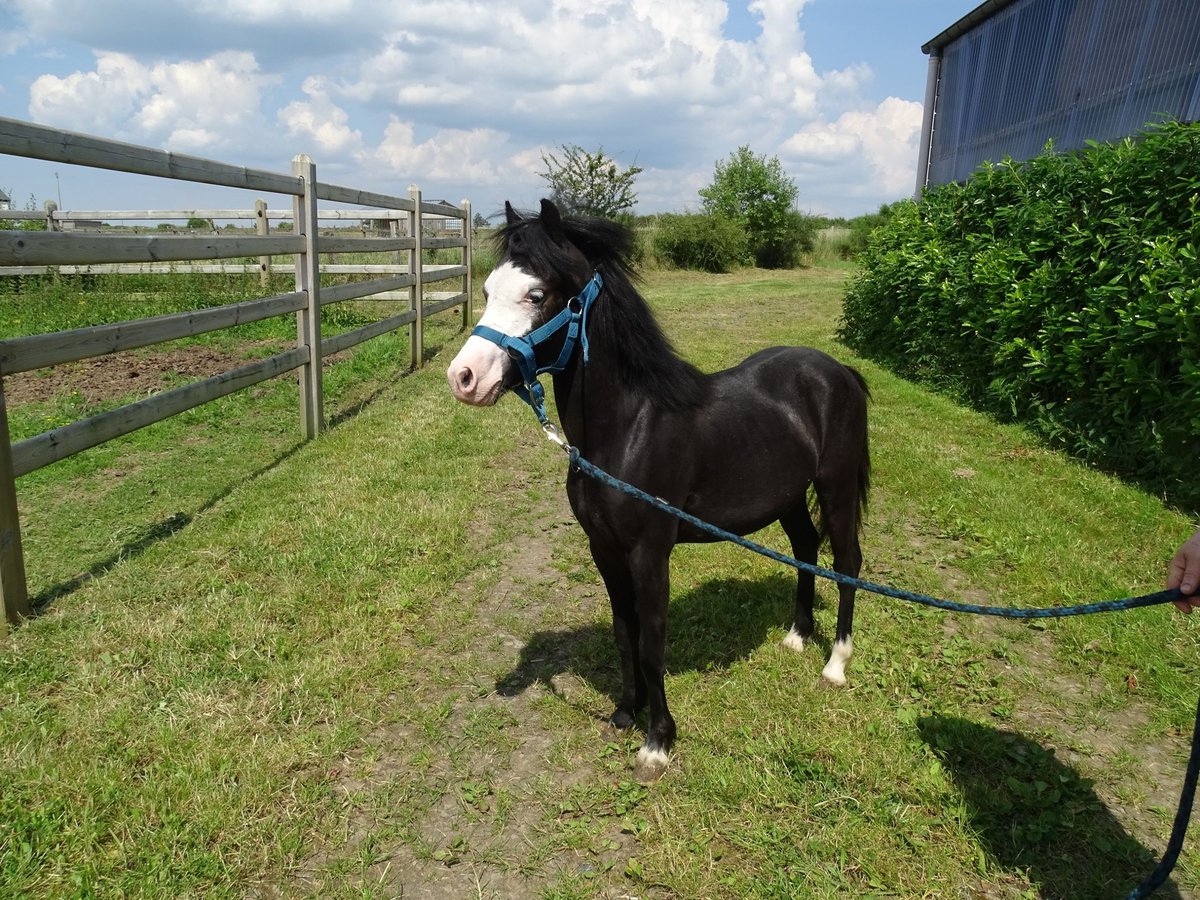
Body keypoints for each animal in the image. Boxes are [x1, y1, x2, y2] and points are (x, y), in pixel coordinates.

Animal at [446, 199, 868, 782]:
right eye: (487, 290)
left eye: (536, 294)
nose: (464, 377)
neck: (629, 429)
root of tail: (839, 371)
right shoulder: (604, 549)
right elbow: (624, 633)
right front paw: (627, 713)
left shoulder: (649, 554)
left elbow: (651, 643)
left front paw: (658, 742)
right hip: (788, 497)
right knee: (806, 549)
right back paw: (796, 636)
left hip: (836, 487)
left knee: (846, 563)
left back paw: (835, 664)